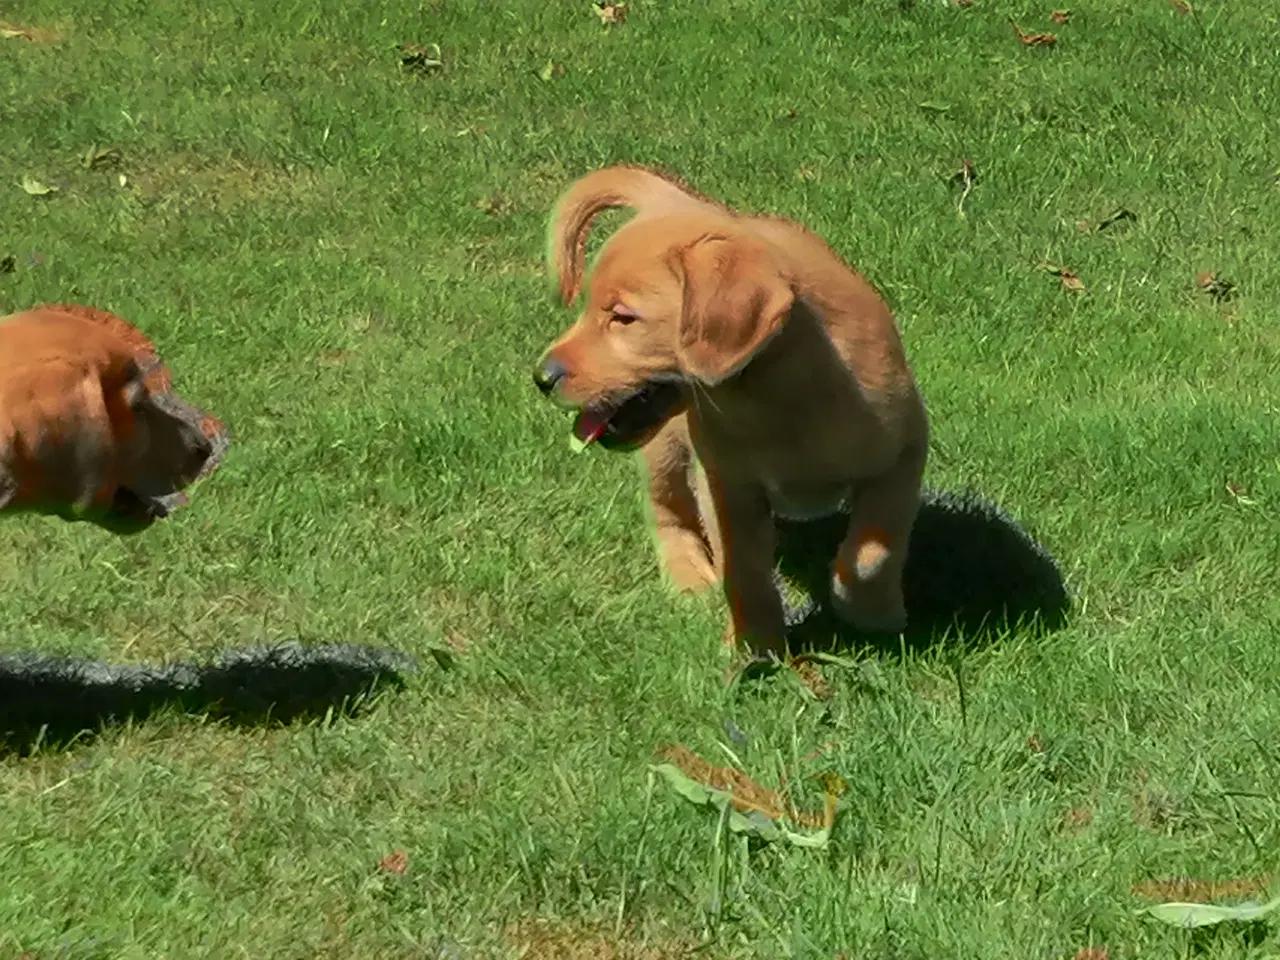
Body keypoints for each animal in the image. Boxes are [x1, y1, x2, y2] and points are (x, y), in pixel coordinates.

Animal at [532, 165, 931, 660]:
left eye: (623, 318)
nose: (541, 377)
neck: (770, 398)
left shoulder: (905, 451)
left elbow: (876, 546)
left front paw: (869, 610)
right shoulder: (727, 486)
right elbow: (742, 569)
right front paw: (755, 642)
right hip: (665, 450)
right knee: (666, 510)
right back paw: (688, 576)